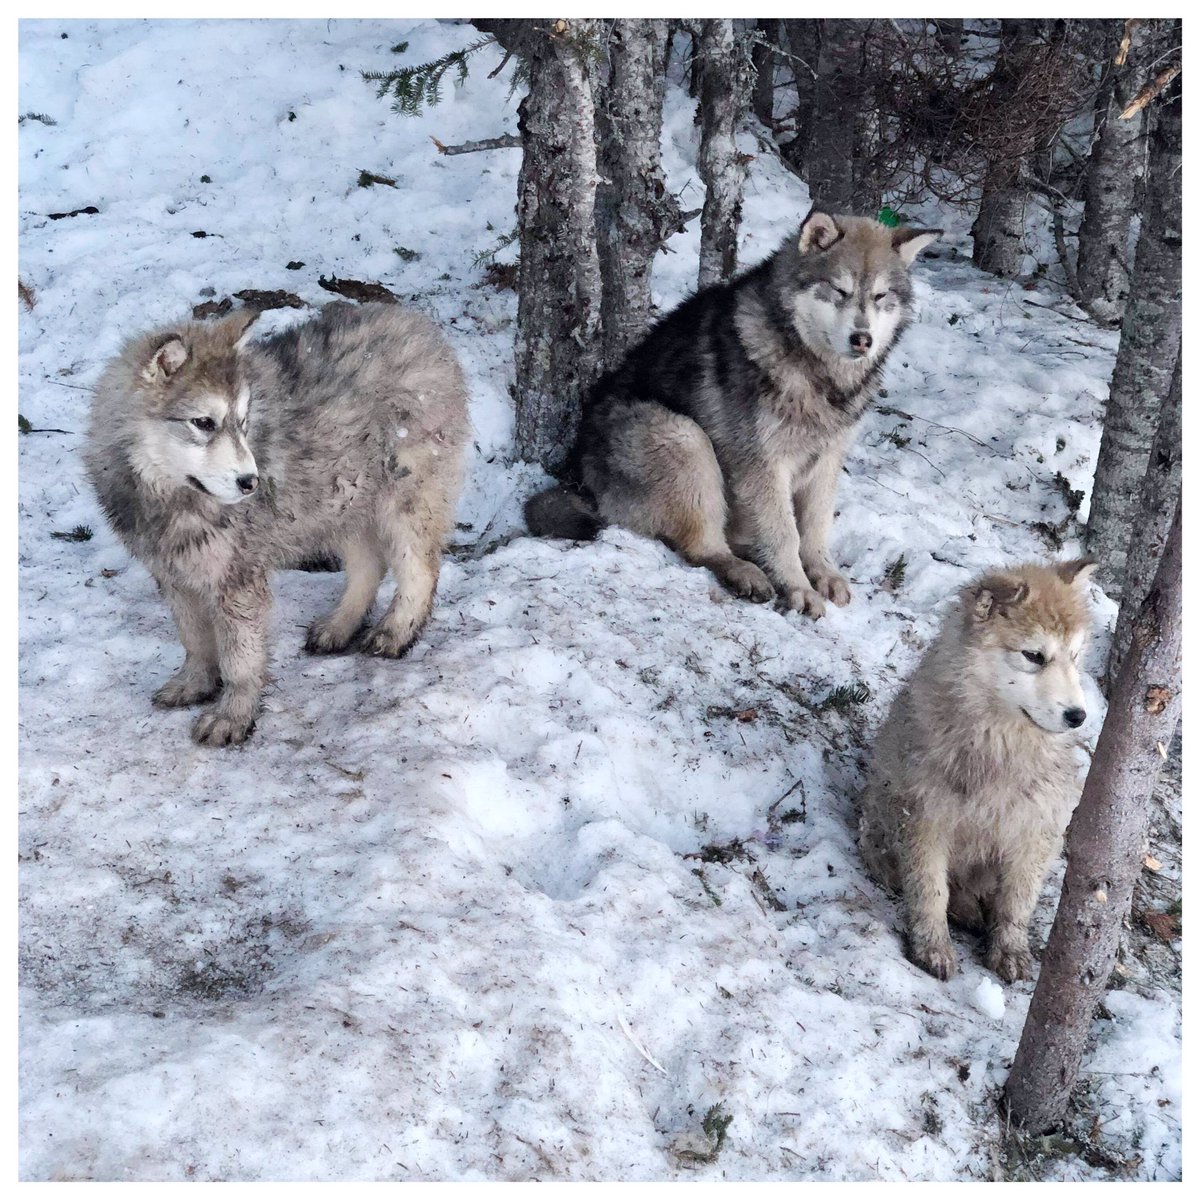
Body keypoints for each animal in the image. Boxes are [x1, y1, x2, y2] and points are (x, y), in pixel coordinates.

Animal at [86, 302, 469, 747]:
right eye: (203, 423)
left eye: (243, 421)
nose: (251, 483)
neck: (170, 496)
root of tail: (417, 323)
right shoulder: (172, 573)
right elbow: (194, 639)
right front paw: (194, 683)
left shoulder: (237, 578)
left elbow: (239, 657)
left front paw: (233, 715)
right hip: (341, 496)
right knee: (368, 565)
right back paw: (339, 626)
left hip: (402, 498)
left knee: (419, 568)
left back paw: (396, 632)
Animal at [525, 210, 940, 617]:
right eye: (840, 291)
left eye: (880, 296)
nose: (862, 339)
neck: (817, 373)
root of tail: (579, 478)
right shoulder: (762, 464)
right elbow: (785, 534)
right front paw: (798, 589)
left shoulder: (827, 460)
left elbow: (815, 526)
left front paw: (823, 572)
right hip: (685, 440)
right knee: (703, 548)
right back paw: (745, 573)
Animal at [857, 559, 1097, 981]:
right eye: (1034, 656)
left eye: (1074, 656)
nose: (1078, 716)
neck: (999, 741)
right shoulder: (923, 818)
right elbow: (930, 890)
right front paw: (932, 947)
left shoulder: (1037, 829)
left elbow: (1018, 901)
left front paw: (1011, 949)